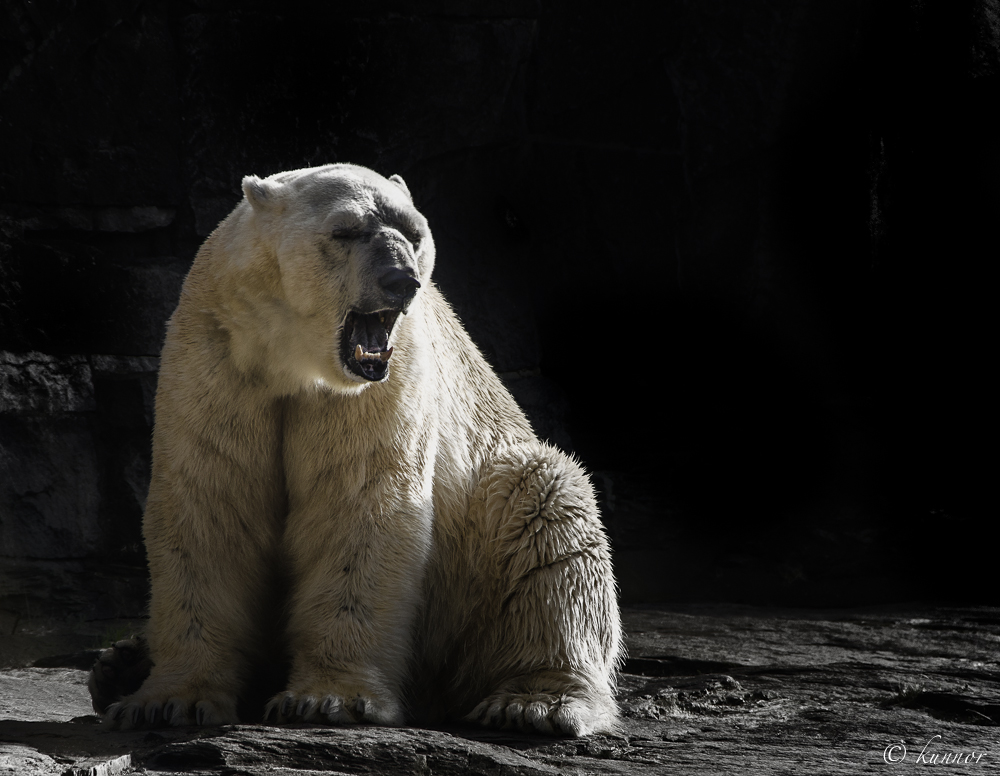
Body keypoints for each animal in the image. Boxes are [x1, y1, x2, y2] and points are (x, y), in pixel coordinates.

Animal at [90, 162, 620, 732]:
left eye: (414, 232)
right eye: (346, 231)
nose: (401, 280)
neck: (291, 358)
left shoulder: (382, 385)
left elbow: (361, 507)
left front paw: (326, 698)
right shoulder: (216, 356)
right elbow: (210, 507)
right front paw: (165, 702)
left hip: (487, 531)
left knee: (549, 520)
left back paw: (534, 702)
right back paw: (118, 666)